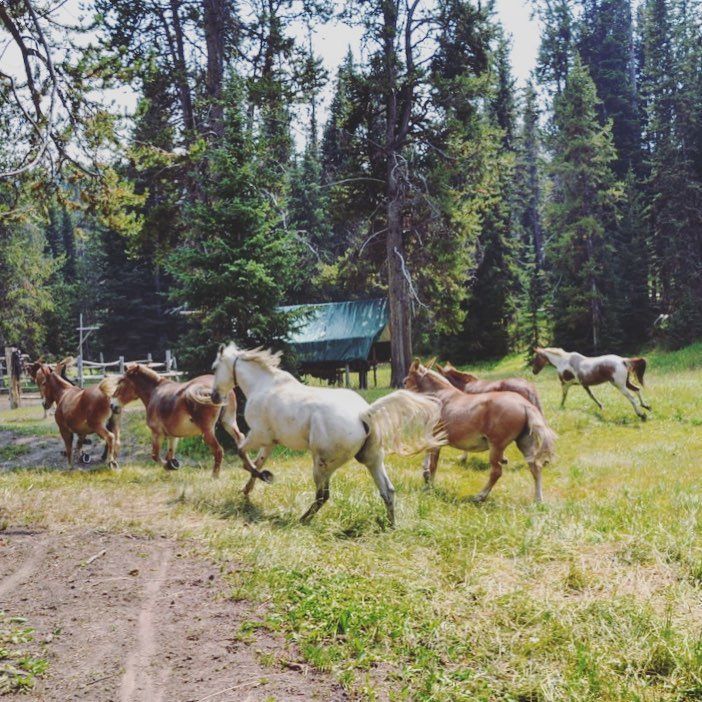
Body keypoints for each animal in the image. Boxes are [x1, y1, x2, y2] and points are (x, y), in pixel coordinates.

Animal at [111, 364, 261, 479]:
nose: (112, 405)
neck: (155, 392)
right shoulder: (173, 436)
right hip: (228, 422)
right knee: (240, 439)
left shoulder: (157, 433)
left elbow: (155, 456)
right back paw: (252, 469)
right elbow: (169, 454)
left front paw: (169, 467)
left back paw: (215, 476)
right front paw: (171, 468)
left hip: (208, 431)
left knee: (218, 451)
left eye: (121, 382)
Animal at [209, 344, 445, 525]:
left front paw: (266, 477)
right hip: (372, 460)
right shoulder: (270, 442)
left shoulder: (258, 435)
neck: (262, 385)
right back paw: (390, 525)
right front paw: (247, 490)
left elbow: (242, 454)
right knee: (388, 490)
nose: (213, 397)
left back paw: (302, 520)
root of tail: (363, 413)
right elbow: (256, 463)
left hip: (322, 464)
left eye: (214, 368)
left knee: (323, 495)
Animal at [404, 360, 556, 503]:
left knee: (496, 472)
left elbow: (433, 465)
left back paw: (480, 496)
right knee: (535, 467)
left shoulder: (437, 440)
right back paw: (538, 499)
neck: (441, 396)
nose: (402, 391)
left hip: (496, 447)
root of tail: (524, 404)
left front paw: (429, 486)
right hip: (524, 443)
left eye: (406, 381)